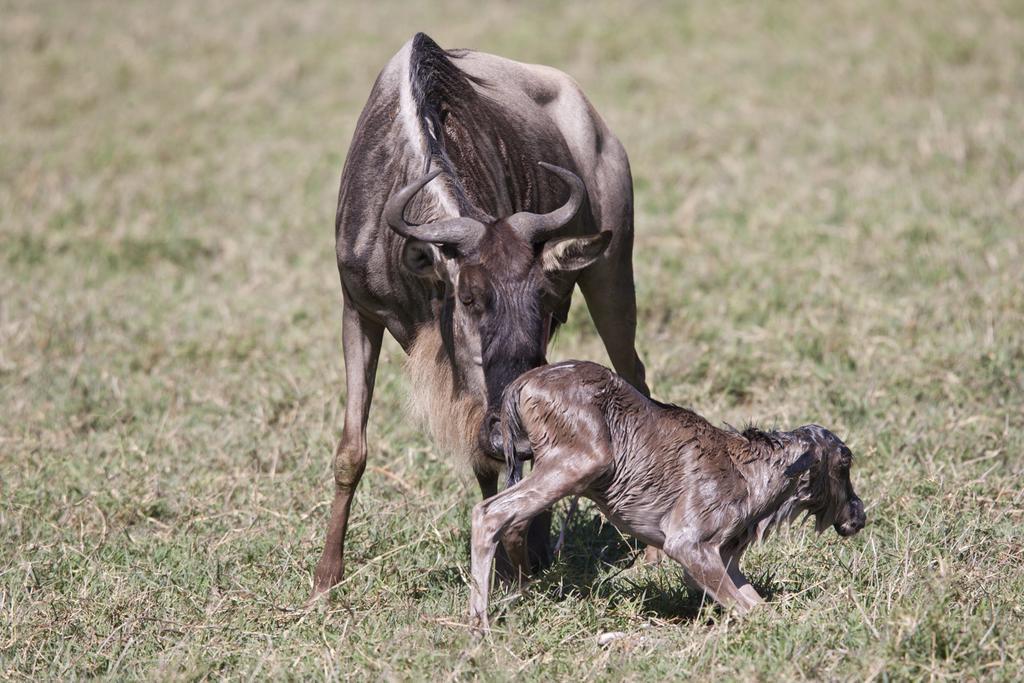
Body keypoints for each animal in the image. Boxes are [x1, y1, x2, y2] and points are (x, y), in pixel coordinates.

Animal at [468, 362, 864, 630]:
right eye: (844, 462)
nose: (858, 517)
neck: (753, 473)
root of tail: (522, 383)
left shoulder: (725, 558)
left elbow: (758, 605)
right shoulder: (688, 545)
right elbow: (746, 609)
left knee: (511, 522)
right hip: (582, 462)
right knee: (489, 513)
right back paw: (480, 625)